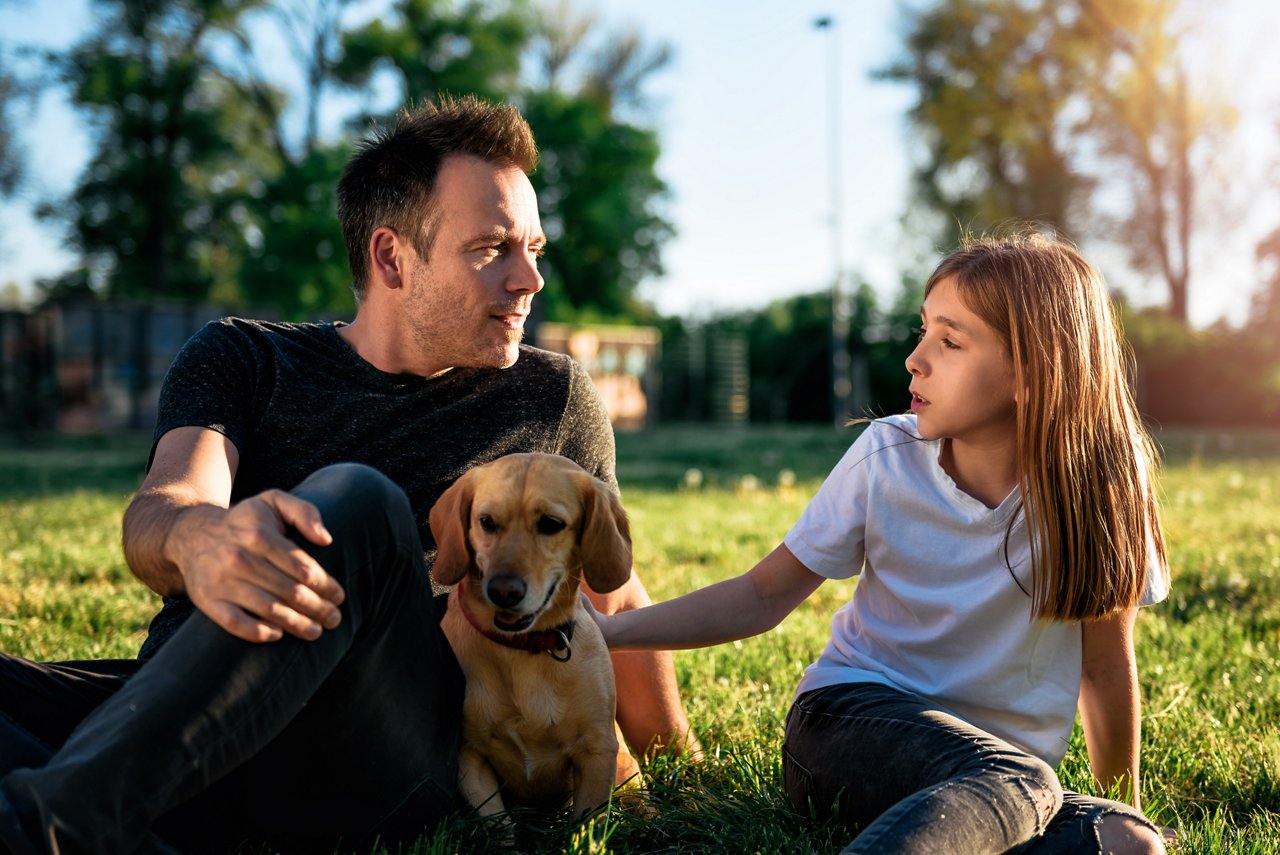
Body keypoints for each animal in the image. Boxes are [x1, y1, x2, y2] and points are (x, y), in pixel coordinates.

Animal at [427, 453, 640, 834]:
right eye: (486, 522)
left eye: (551, 524)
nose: (503, 591)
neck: (522, 649)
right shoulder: (470, 756)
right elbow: (500, 827)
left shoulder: (598, 751)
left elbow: (586, 827)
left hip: (627, 769)